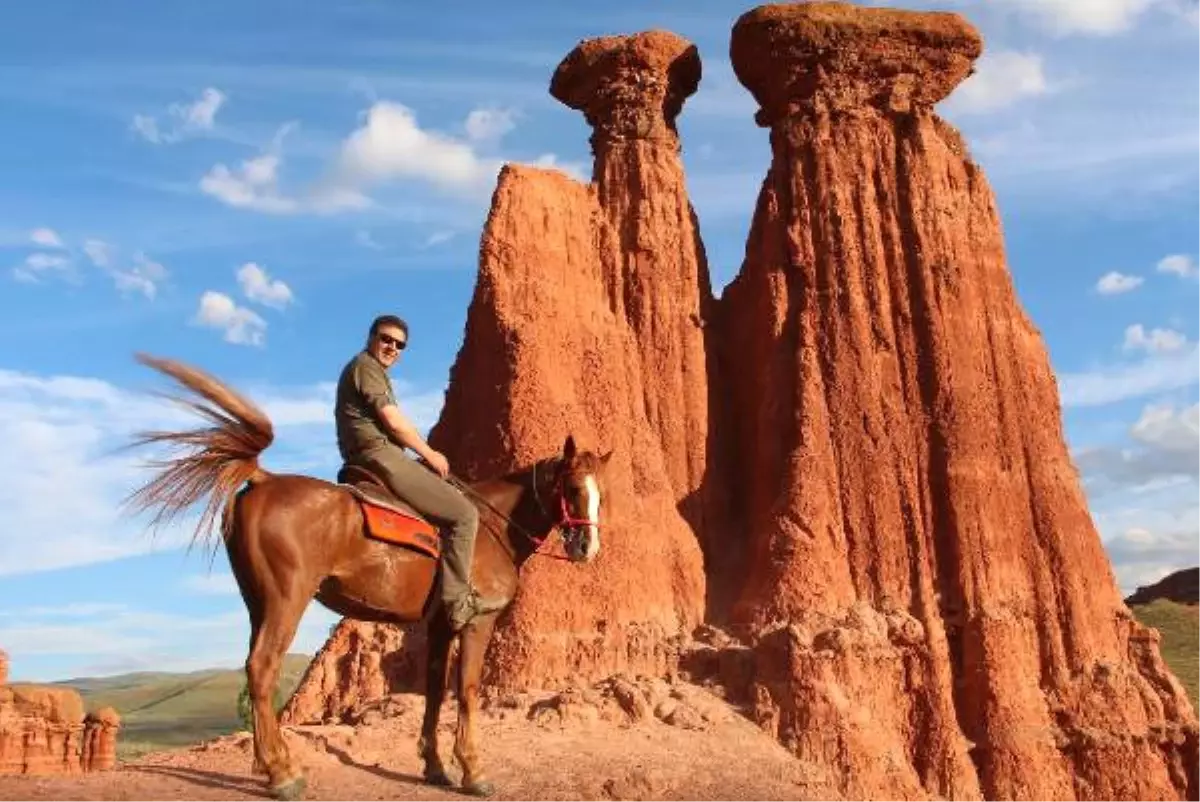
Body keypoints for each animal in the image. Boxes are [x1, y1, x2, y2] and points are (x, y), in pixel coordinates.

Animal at [121, 352, 609, 797]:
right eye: (571, 488)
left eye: (601, 492)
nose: (587, 548)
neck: (493, 528)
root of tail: (263, 479)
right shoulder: (477, 621)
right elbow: (468, 690)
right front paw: (473, 771)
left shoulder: (439, 626)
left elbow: (435, 691)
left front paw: (435, 767)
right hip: (286, 599)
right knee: (262, 668)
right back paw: (283, 775)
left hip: (256, 602)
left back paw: (273, 766)